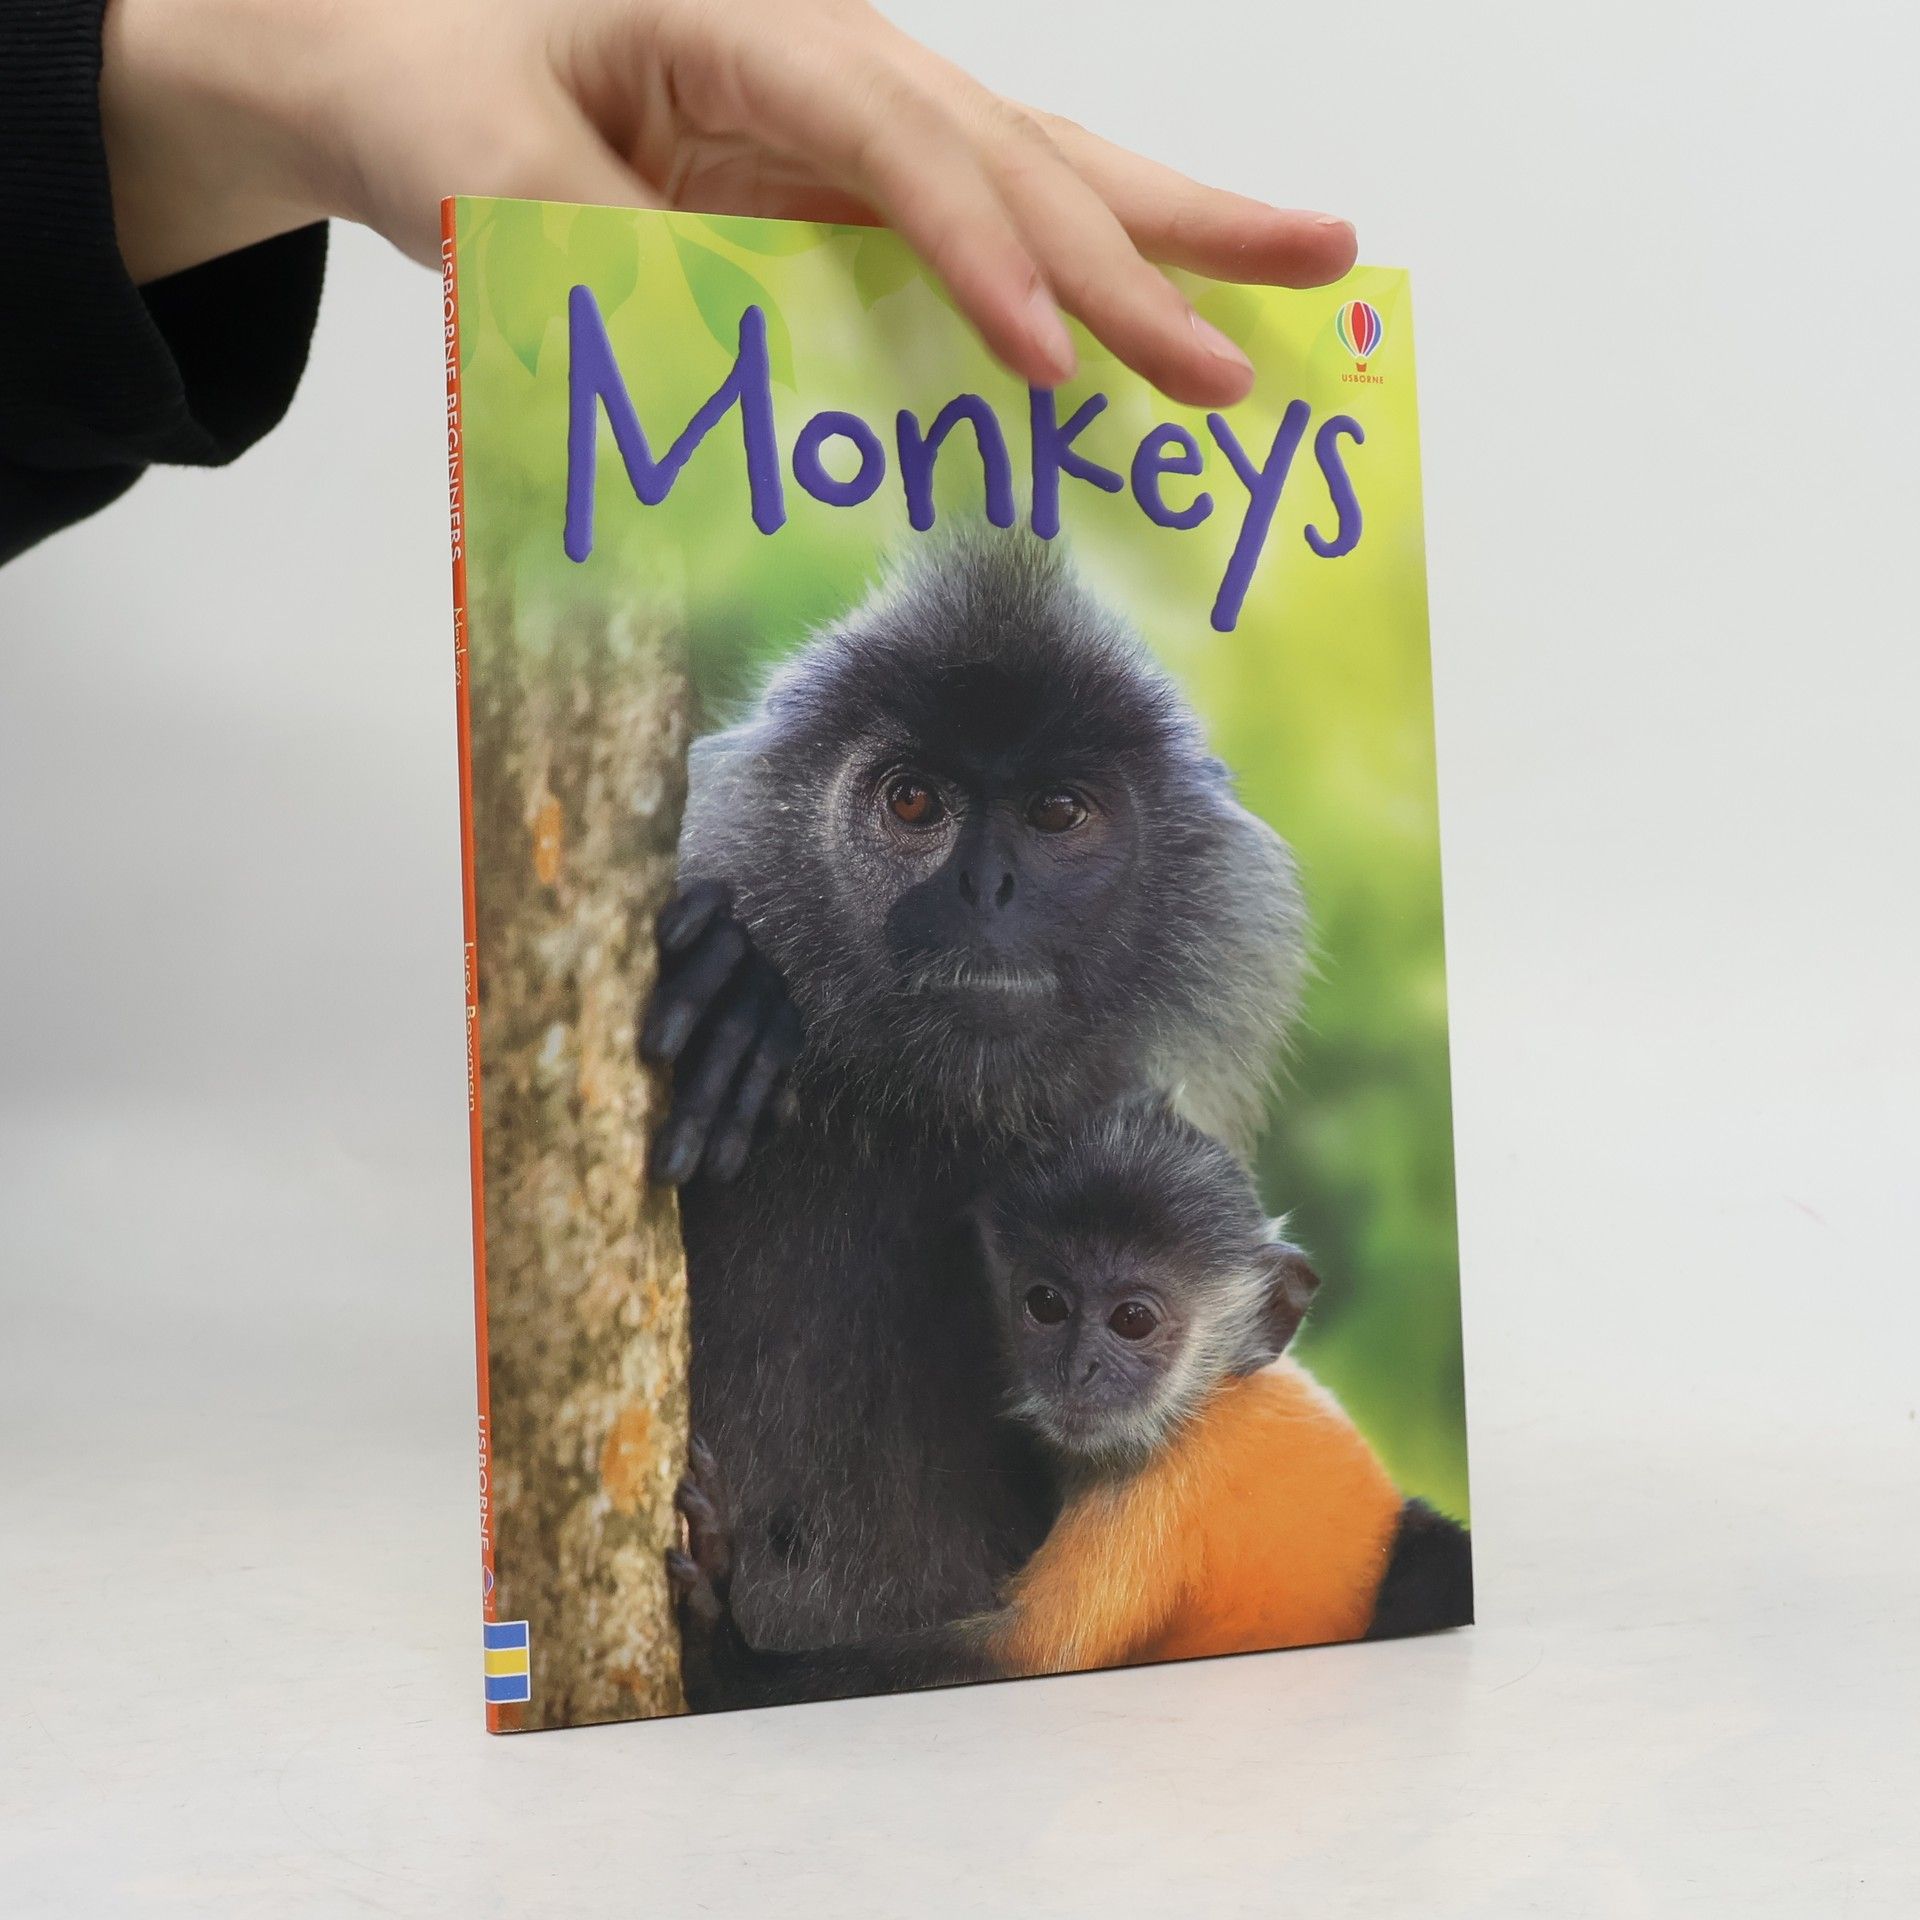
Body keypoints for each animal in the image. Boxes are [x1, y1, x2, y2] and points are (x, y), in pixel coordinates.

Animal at [666, 1098, 1473, 1710]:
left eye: (1133, 1320)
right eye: (1046, 1305)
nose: (1078, 1368)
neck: (1211, 1399)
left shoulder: (1160, 1490)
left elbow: (1020, 1657)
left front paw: (719, 1653)